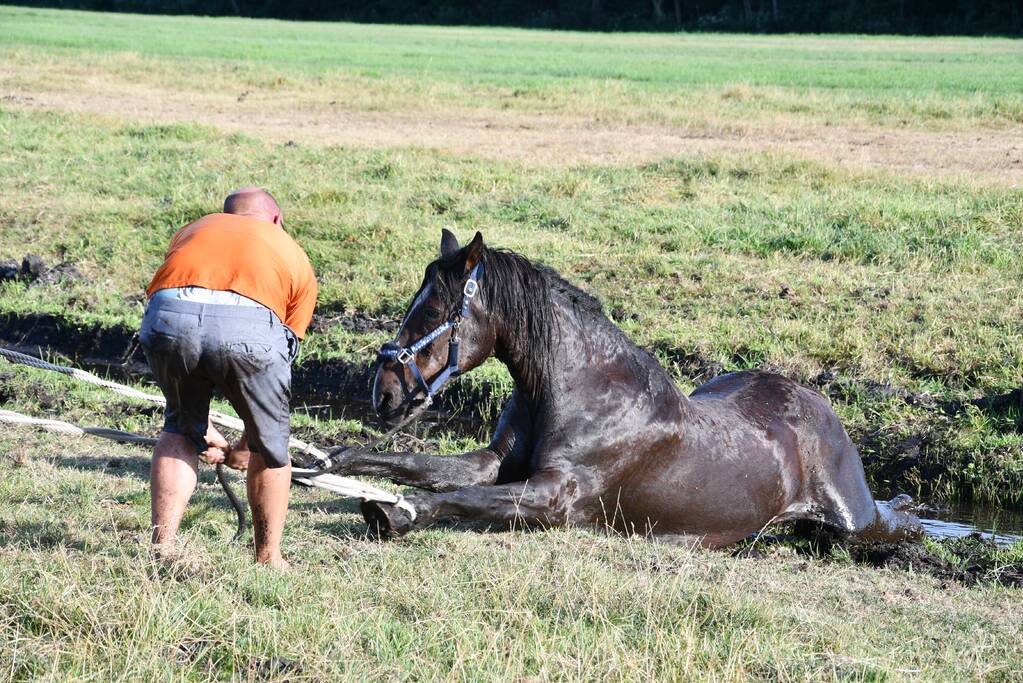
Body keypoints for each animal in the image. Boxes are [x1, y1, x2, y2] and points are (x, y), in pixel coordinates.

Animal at [333, 232, 920, 548]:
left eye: (435, 310)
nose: (384, 393)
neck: (579, 391)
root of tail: (819, 405)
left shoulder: (554, 498)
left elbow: (456, 497)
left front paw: (395, 512)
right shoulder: (492, 462)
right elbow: (418, 466)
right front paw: (335, 460)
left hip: (853, 523)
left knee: (891, 521)